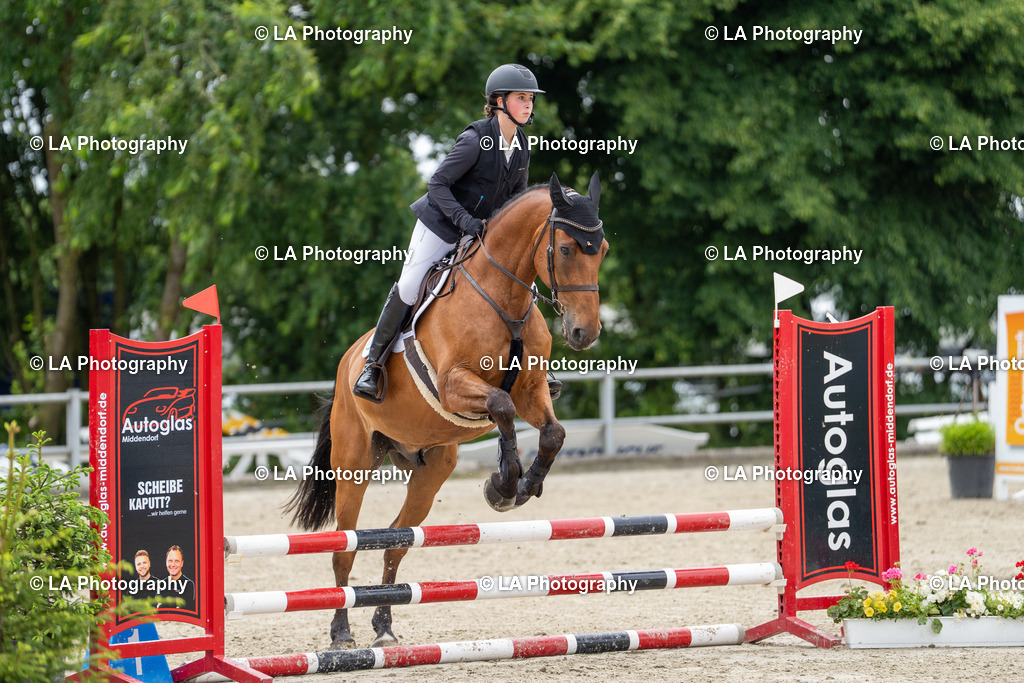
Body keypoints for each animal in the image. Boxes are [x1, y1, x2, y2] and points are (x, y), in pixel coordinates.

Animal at [285, 172, 609, 650]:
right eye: (566, 249)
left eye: (601, 251)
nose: (585, 332)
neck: (504, 301)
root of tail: (347, 364)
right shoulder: (454, 387)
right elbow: (500, 406)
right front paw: (503, 484)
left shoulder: (532, 390)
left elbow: (552, 433)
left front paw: (520, 486)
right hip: (354, 462)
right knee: (346, 545)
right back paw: (342, 633)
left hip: (429, 468)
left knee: (398, 540)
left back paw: (384, 627)